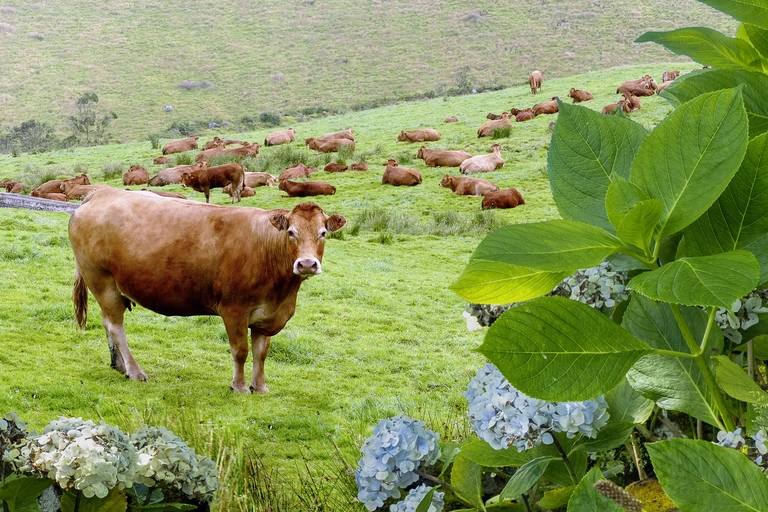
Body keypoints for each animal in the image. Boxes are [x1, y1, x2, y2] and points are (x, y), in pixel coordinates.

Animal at [68, 188, 346, 393]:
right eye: (291, 232)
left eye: (323, 233)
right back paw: (135, 371)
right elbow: (240, 351)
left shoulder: (266, 314)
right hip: (101, 280)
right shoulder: (234, 309)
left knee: (108, 324)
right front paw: (240, 387)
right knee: (116, 326)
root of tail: (102, 192)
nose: (307, 264)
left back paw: (119, 366)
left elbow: (261, 352)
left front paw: (260, 387)